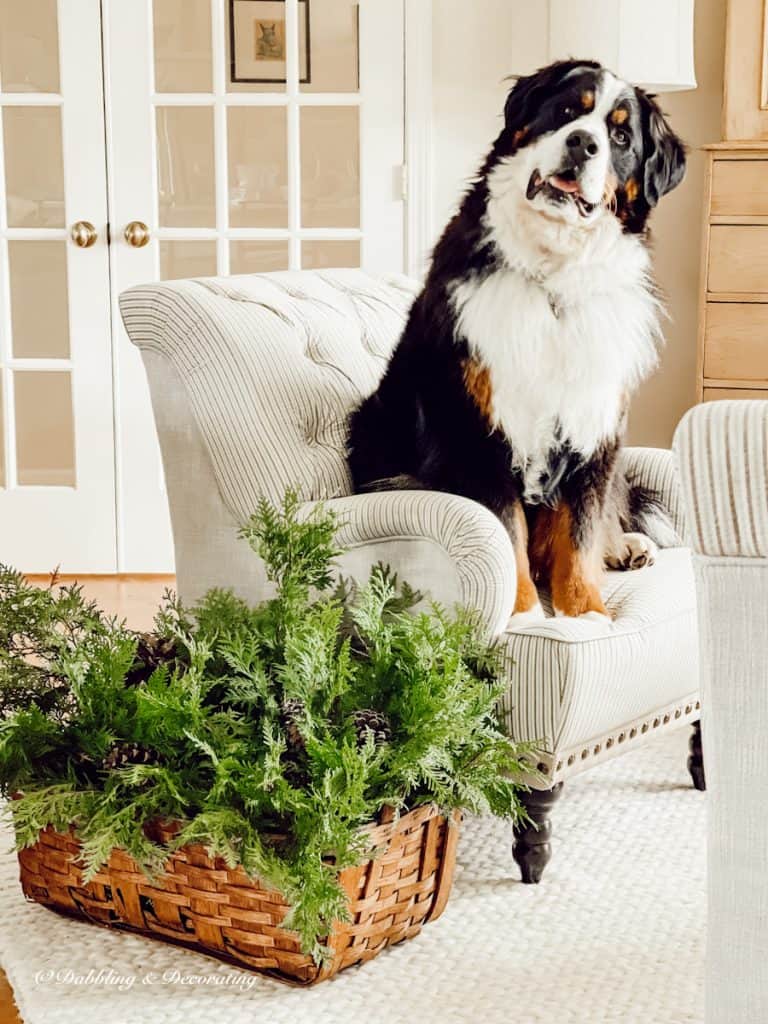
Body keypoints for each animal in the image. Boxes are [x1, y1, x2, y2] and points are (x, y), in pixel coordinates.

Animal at [348, 61, 684, 622]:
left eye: (620, 137)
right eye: (567, 110)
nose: (583, 144)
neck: (554, 280)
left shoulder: (595, 426)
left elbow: (580, 532)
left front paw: (586, 614)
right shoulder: (479, 426)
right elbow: (507, 535)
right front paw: (523, 613)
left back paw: (628, 546)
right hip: (375, 427)